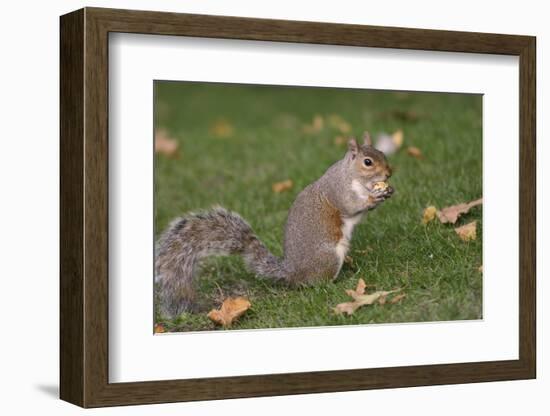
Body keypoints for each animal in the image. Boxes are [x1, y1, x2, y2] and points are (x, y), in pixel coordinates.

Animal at [155, 133, 394, 318]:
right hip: (328, 257)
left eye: (382, 153)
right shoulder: (339, 192)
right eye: (368, 162)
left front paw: (386, 192)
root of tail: (292, 273)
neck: (352, 176)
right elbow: (351, 207)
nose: (389, 174)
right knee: (315, 283)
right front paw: (373, 198)